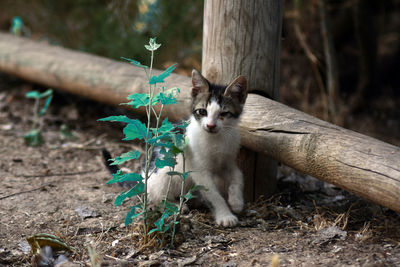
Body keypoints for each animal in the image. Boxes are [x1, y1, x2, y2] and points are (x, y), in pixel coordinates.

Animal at [147, 69, 247, 226]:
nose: (210, 125)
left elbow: (238, 175)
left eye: (224, 113)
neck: (216, 139)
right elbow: (214, 195)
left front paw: (236, 201)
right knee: (156, 195)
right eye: (202, 111)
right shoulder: (199, 170)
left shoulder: (228, 160)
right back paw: (174, 205)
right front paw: (225, 215)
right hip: (163, 174)